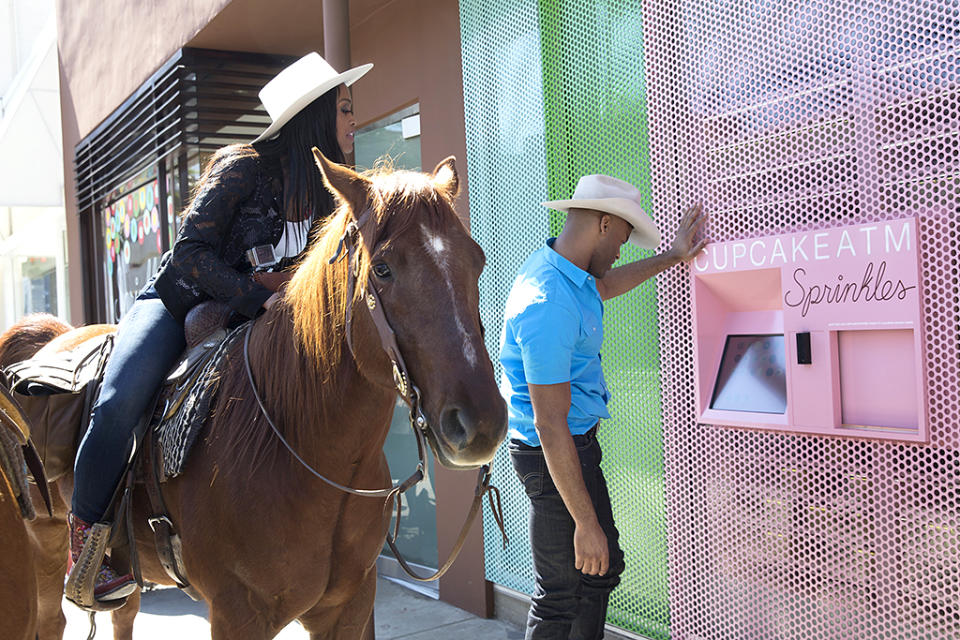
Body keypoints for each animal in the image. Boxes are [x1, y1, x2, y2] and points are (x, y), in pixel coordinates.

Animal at [0, 152, 506, 636]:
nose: (480, 422)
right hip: (44, 544)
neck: (301, 448)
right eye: (382, 268)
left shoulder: (352, 607)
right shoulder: (238, 614)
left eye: (478, 260)